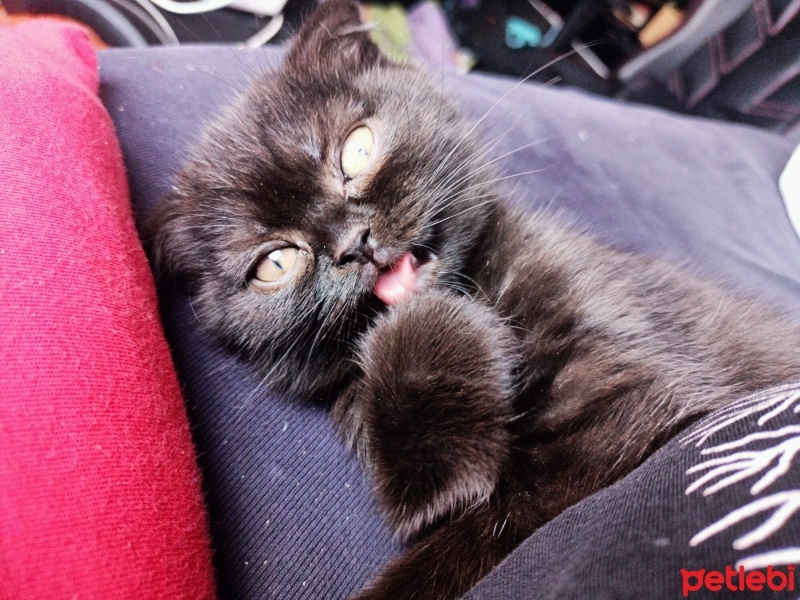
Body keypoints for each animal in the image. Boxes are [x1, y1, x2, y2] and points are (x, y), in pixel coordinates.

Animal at [152, 2, 800, 596]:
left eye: (357, 150)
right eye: (274, 264)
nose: (352, 243)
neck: (482, 289)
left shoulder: (635, 404)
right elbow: (454, 502)